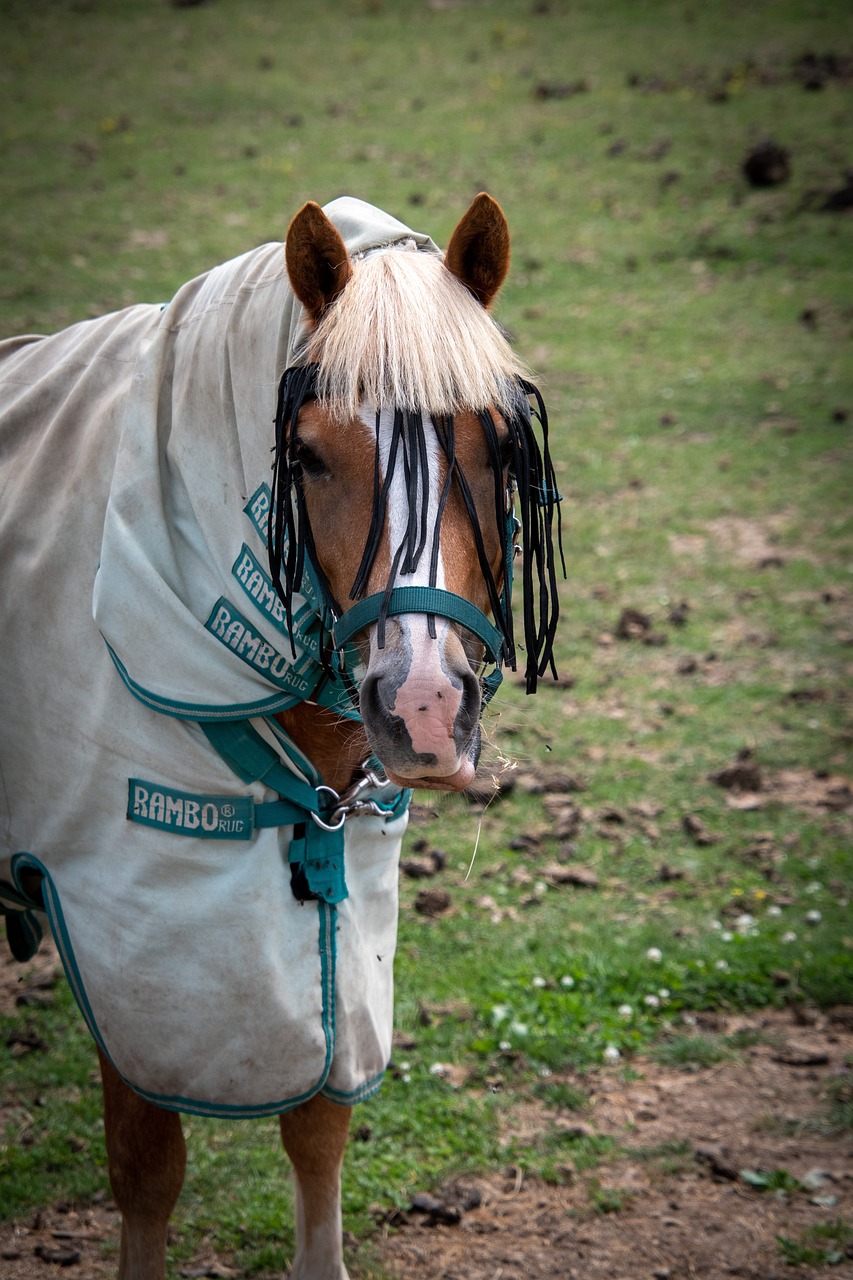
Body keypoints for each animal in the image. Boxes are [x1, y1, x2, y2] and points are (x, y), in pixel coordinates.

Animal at [0, 192, 560, 1280]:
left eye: (495, 446)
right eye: (305, 455)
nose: (422, 707)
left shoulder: (336, 924)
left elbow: (317, 1127)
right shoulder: (129, 938)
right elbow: (148, 1167)